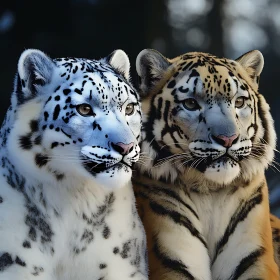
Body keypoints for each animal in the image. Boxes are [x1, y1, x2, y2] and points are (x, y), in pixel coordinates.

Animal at [132, 49, 280, 278]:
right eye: (191, 104)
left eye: (239, 102)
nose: (228, 139)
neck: (210, 191)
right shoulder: (171, 261)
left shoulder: (256, 259)